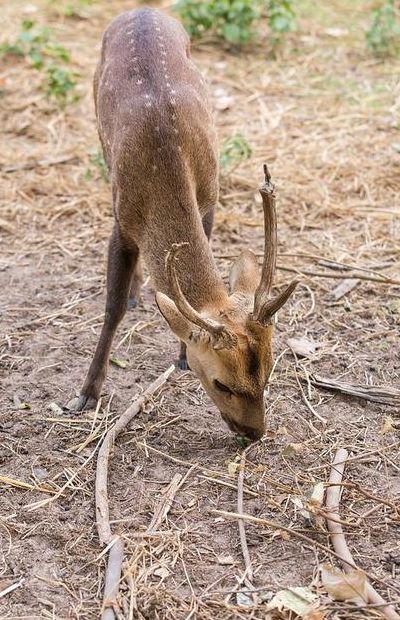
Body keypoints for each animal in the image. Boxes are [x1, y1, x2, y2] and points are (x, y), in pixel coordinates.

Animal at [69, 6, 296, 440]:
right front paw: (87, 392)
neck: (165, 167)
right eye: (223, 384)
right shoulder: (122, 223)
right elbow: (112, 308)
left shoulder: (209, 200)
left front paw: (182, 357)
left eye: (269, 372)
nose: (255, 433)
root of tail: (141, 9)